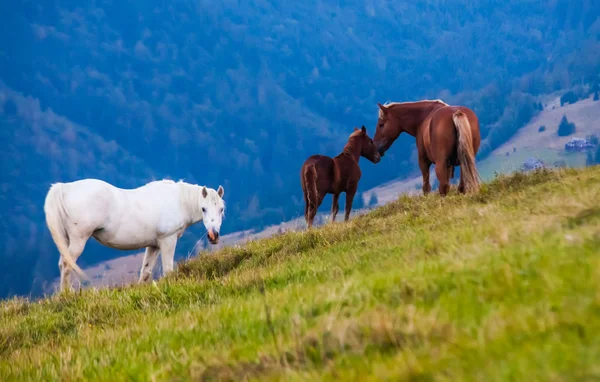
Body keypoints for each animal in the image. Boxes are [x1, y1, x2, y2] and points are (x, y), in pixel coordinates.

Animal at [42, 178, 225, 290]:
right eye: (203, 208)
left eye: (221, 209)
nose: (213, 235)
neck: (179, 201)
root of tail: (64, 188)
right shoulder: (168, 240)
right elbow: (168, 270)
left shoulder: (154, 245)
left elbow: (145, 272)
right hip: (78, 239)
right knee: (67, 265)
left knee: (62, 264)